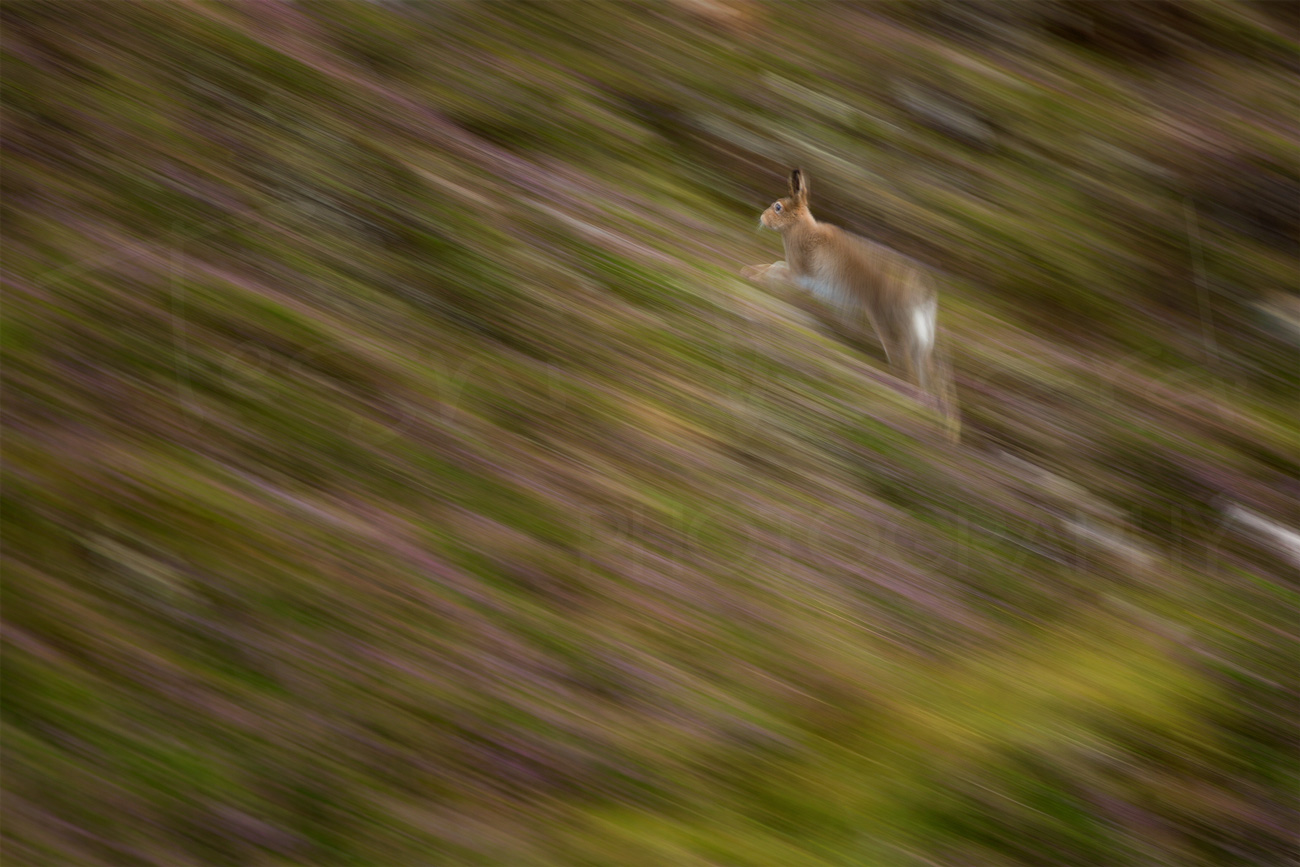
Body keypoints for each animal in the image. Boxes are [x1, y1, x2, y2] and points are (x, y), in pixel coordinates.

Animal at [742, 168, 959, 440]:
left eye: (778, 207)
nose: (762, 217)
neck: (800, 229)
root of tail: (924, 292)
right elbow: (772, 265)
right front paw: (748, 270)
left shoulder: (799, 276)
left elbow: (774, 271)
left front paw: (751, 277)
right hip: (919, 334)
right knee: (933, 374)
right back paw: (946, 428)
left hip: (887, 320)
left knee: (908, 367)